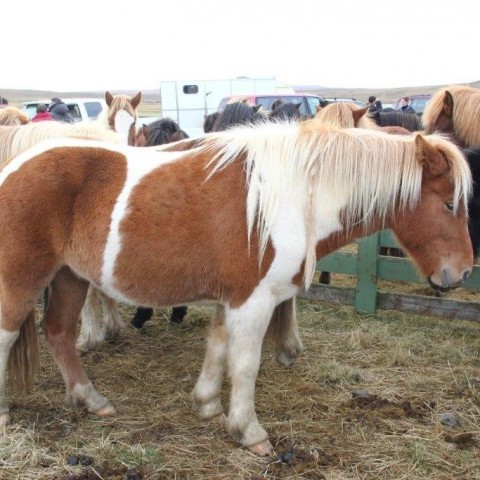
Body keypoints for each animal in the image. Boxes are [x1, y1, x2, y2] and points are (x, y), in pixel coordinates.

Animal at [0, 122, 472, 456]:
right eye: (449, 203)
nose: (463, 273)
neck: (292, 197)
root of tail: (12, 168)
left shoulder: (233, 299)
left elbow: (217, 346)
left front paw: (208, 404)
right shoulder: (254, 301)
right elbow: (245, 365)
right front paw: (249, 430)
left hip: (69, 277)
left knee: (59, 333)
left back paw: (91, 399)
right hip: (21, 279)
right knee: (10, 336)